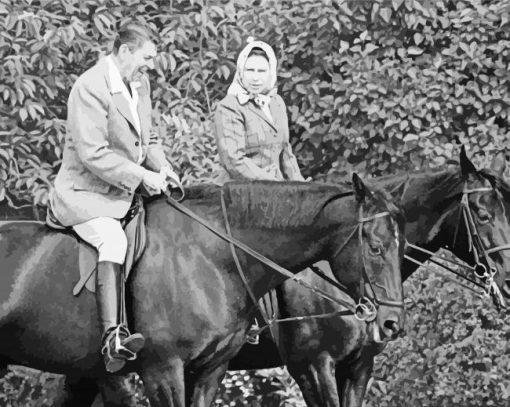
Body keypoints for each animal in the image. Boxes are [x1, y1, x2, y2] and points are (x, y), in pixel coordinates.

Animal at [0, 177, 406, 406]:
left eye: (400, 246)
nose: (392, 323)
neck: (211, 255)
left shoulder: (211, 371)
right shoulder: (163, 370)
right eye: (375, 248)